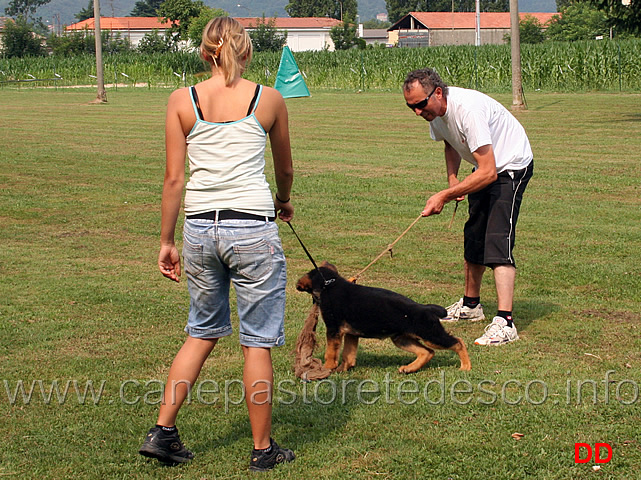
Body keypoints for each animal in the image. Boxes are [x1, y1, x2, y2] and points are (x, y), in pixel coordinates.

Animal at [296, 262, 470, 376]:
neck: (330, 284)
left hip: (430, 335)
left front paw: (327, 369)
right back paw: (409, 368)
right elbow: (348, 356)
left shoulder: (333, 330)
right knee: (427, 352)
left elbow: (331, 353)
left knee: (458, 342)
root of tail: (426, 308)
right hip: (402, 339)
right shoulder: (351, 334)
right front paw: (341, 371)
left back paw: (466, 367)